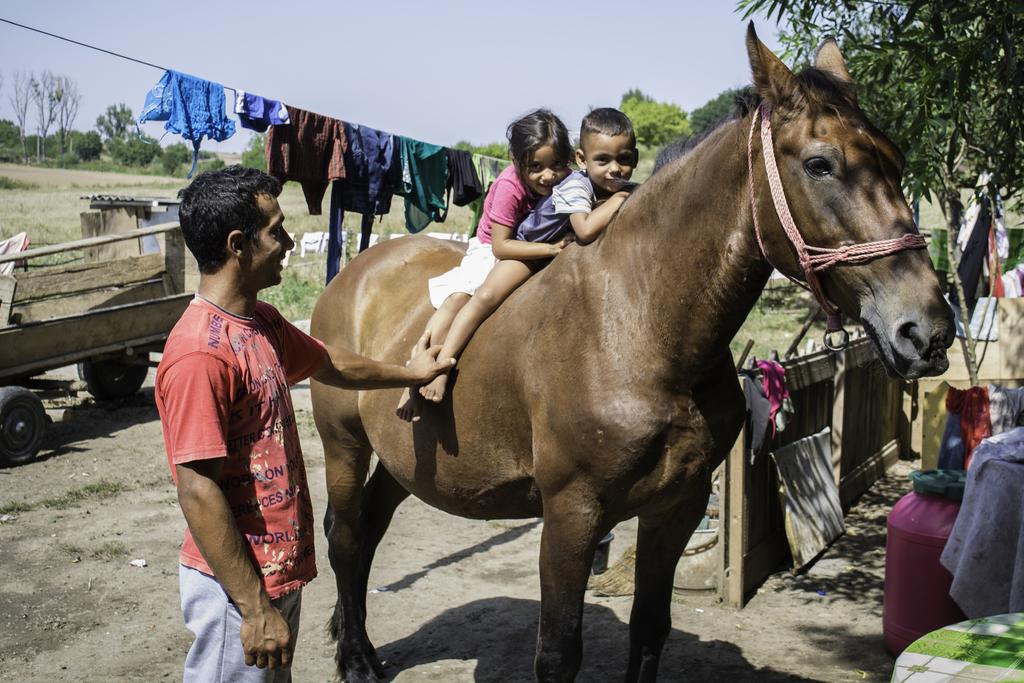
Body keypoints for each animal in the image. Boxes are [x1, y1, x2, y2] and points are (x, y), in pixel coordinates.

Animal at [307, 24, 954, 679]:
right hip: (343, 443)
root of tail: (355, 272)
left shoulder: (676, 507)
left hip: (404, 463)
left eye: (897, 161)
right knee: (346, 538)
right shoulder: (570, 514)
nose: (928, 330)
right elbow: (558, 652)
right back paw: (356, 658)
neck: (638, 326)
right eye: (821, 164)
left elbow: (649, 629)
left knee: (368, 529)